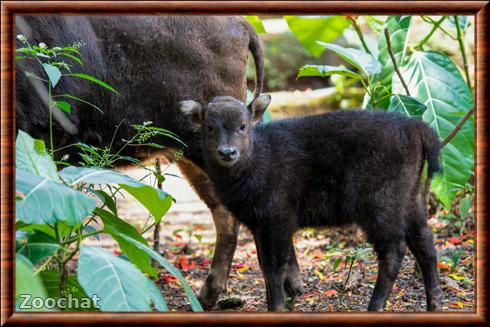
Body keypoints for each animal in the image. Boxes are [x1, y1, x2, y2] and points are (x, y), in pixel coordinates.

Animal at [180, 95, 444, 312]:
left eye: (243, 126)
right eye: (209, 126)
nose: (227, 152)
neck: (259, 159)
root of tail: (416, 128)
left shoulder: (278, 221)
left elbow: (275, 267)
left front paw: (277, 307)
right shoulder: (260, 225)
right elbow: (267, 267)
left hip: (382, 206)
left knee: (393, 251)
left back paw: (375, 306)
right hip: (411, 199)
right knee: (425, 243)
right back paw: (434, 304)